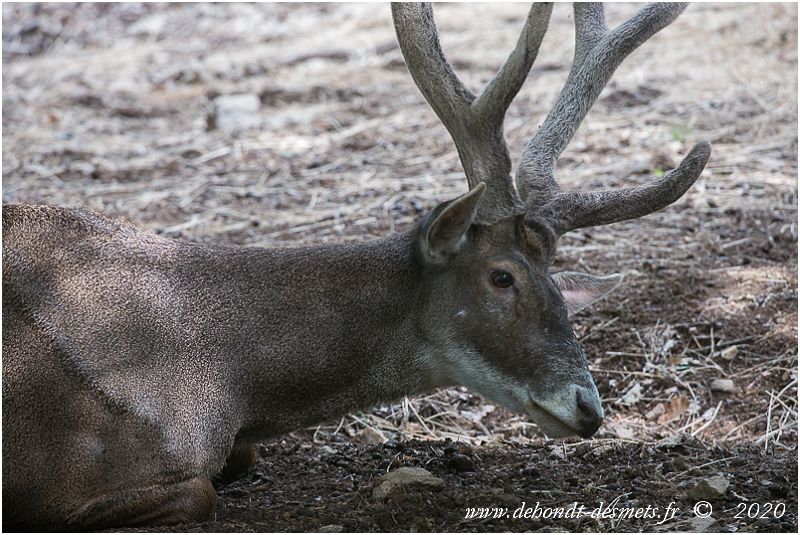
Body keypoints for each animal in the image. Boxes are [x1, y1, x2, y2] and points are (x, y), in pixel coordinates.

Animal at [1, 2, 712, 528]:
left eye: (557, 279)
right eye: (501, 275)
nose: (588, 406)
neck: (230, 376)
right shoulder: (69, 472)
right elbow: (201, 490)